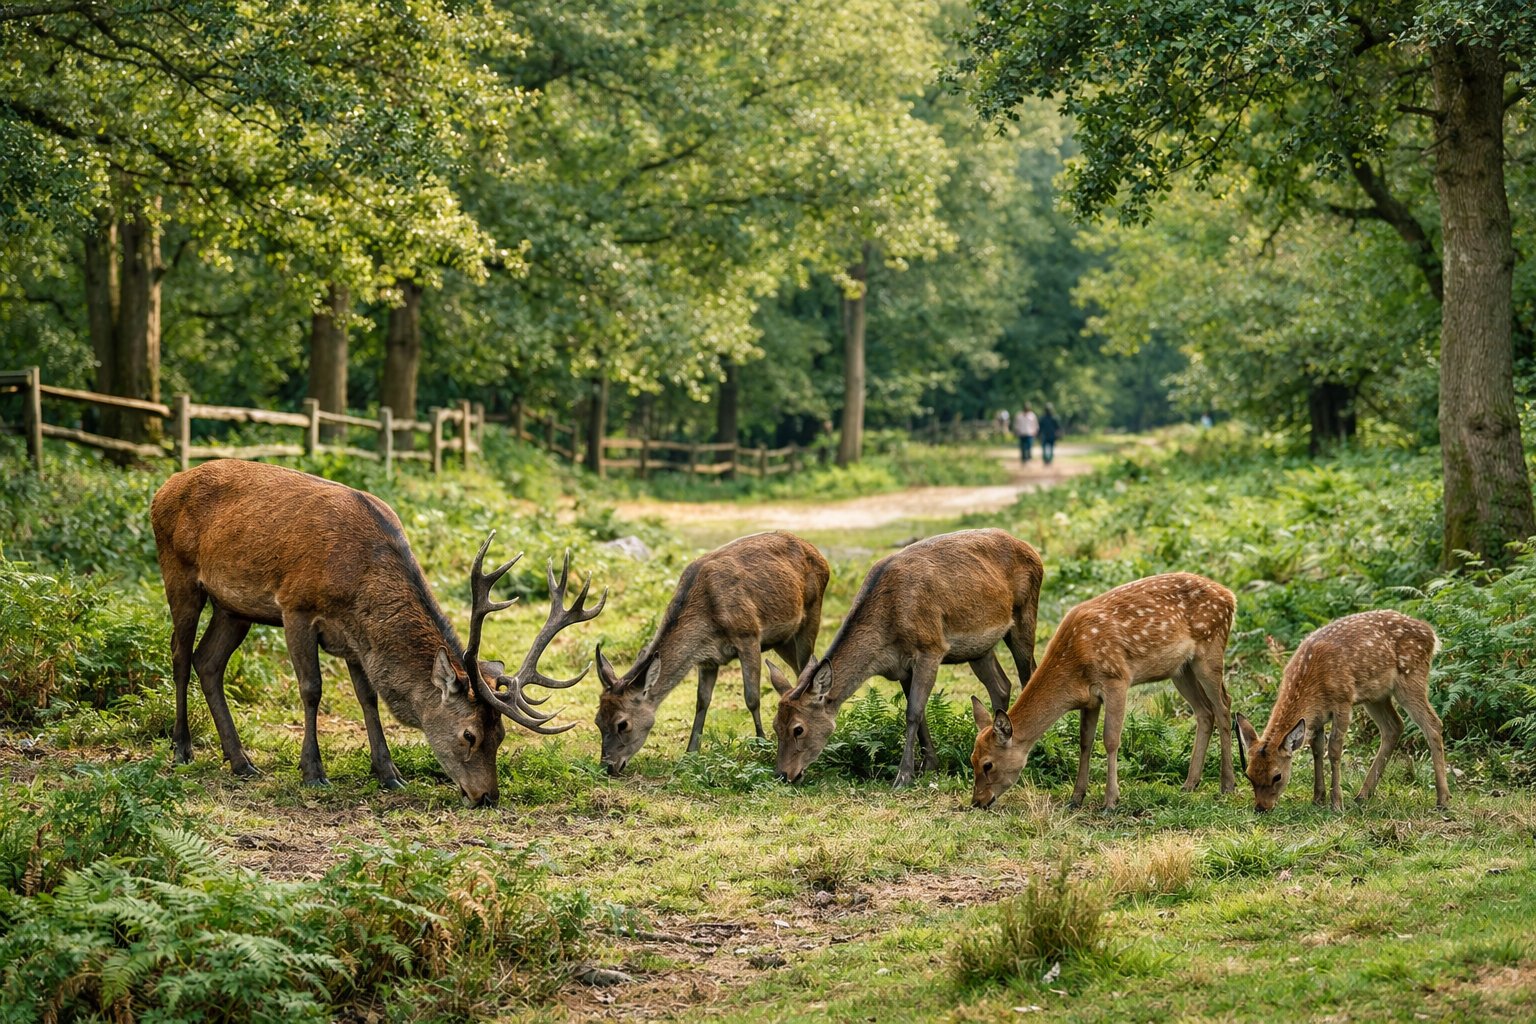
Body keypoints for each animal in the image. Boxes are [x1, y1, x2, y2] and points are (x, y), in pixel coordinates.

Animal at [150, 459, 605, 807]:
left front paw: (389, 772)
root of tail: (162, 488)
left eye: (502, 735)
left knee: (208, 662)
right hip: (179, 572)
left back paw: (241, 761)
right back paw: (182, 747)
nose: (487, 797)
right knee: (179, 655)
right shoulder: (295, 606)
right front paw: (313, 771)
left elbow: (368, 698)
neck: (358, 582)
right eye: (469, 734)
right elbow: (311, 689)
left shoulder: (355, 637)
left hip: (234, 606)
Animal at [594, 531, 829, 775]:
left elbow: (752, 698)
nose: (608, 766)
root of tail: (818, 553)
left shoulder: (749, 635)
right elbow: (702, 700)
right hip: (782, 640)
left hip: (811, 615)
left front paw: (761, 743)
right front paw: (690, 752)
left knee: (806, 667)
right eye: (598, 720)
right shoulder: (708, 659)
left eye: (622, 724)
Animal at [768, 528, 1043, 788]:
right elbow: (919, 713)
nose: (783, 774)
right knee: (1001, 685)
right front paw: (929, 765)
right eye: (775, 725)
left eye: (798, 728)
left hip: (1025, 614)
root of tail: (1033, 550)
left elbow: (913, 712)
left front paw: (904, 776)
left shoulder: (931, 648)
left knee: (1028, 673)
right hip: (980, 648)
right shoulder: (901, 667)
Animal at [970, 572, 1235, 811]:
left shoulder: (1117, 679)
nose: (977, 802)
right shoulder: (1090, 699)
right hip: (1180, 669)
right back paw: (1190, 784)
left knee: (1224, 705)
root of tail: (1230, 596)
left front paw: (1110, 801)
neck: (1074, 666)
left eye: (988, 764)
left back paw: (1227, 785)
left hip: (1210, 649)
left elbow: (1110, 739)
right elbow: (1085, 742)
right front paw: (1076, 798)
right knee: (1205, 711)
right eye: (972, 760)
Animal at [1234, 610, 1448, 812]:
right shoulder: (1316, 716)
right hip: (1376, 695)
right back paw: (1363, 795)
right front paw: (1318, 798)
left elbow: (1334, 749)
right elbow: (1317, 748)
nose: (1261, 808)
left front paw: (1336, 803)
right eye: (1248, 775)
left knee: (1433, 723)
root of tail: (1431, 634)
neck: (1312, 680)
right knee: (1394, 726)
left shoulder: (1343, 701)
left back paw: (1443, 800)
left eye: (1277, 776)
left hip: (1411, 678)